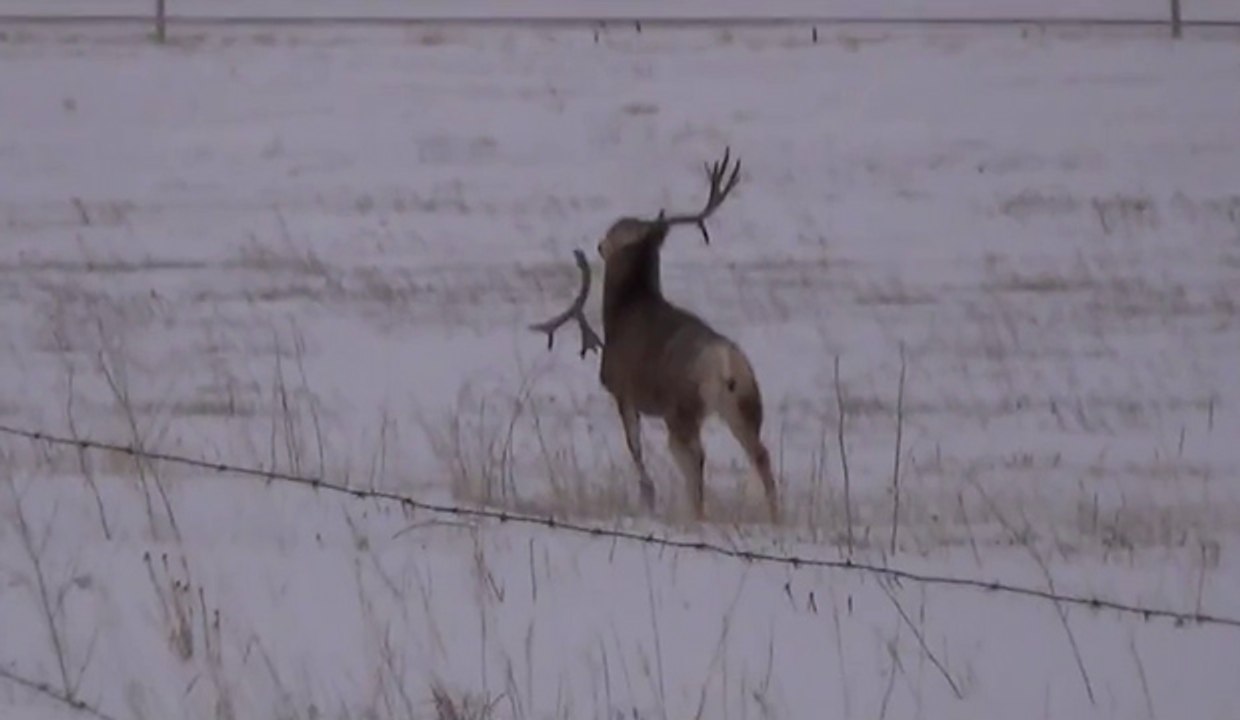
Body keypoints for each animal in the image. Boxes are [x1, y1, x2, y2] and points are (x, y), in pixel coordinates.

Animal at [529, 148, 780, 523]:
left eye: (619, 229)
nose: (599, 243)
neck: (622, 314)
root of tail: (725, 363)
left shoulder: (623, 390)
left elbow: (635, 450)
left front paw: (648, 497)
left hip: (683, 407)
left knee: (695, 457)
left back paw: (697, 514)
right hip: (747, 405)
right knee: (760, 453)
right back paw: (776, 516)